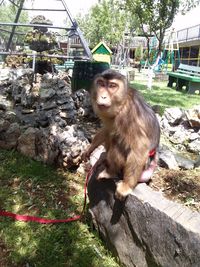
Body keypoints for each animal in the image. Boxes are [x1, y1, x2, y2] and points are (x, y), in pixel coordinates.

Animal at [83, 69, 160, 201]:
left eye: (112, 86)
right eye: (101, 84)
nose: (103, 96)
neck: (122, 102)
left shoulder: (128, 115)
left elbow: (140, 146)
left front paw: (127, 186)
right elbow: (107, 129)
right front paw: (90, 148)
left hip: (141, 166)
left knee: (117, 140)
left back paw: (111, 172)